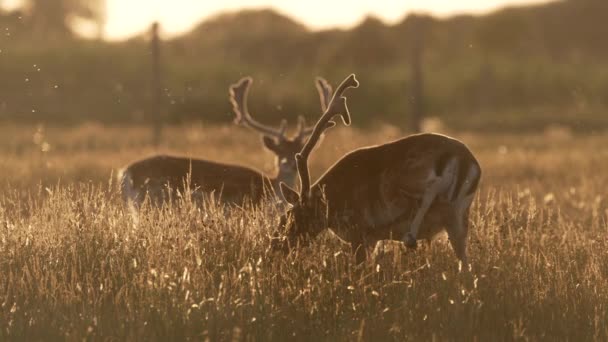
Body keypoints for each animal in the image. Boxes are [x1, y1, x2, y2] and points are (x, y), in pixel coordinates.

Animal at [119, 76, 334, 208]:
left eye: (299, 149)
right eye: (278, 151)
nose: (289, 164)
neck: (269, 191)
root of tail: (126, 173)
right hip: (153, 201)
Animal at [274, 73, 480, 264]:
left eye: (291, 216)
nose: (277, 244)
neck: (331, 204)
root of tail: (466, 161)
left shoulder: (358, 231)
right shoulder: (371, 239)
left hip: (409, 175)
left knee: (431, 185)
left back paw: (410, 236)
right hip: (459, 217)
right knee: (465, 263)